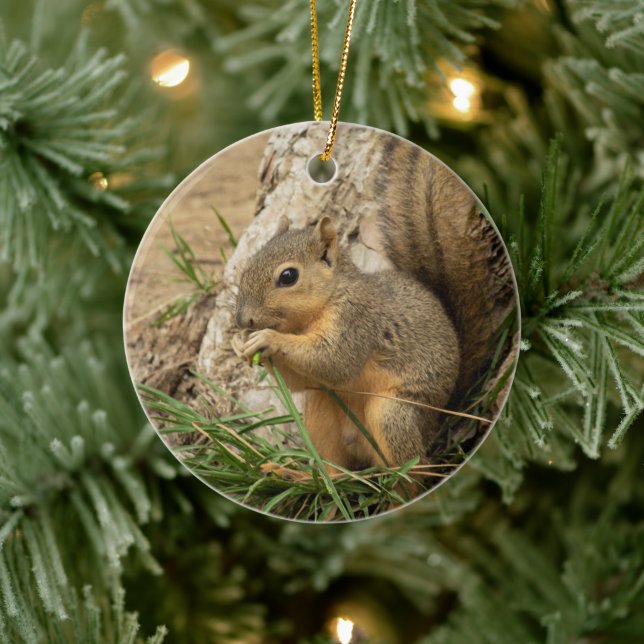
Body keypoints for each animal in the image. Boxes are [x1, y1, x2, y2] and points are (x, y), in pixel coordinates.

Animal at [235, 216, 460, 472]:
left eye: (288, 276)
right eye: (248, 265)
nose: (242, 320)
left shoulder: (356, 320)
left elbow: (336, 361)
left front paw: (268, 338)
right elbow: (299, 382)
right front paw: (243, 344)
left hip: (393, 413)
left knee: (416, 468)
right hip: (320, 409)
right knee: (335, 468)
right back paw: (299, 475)